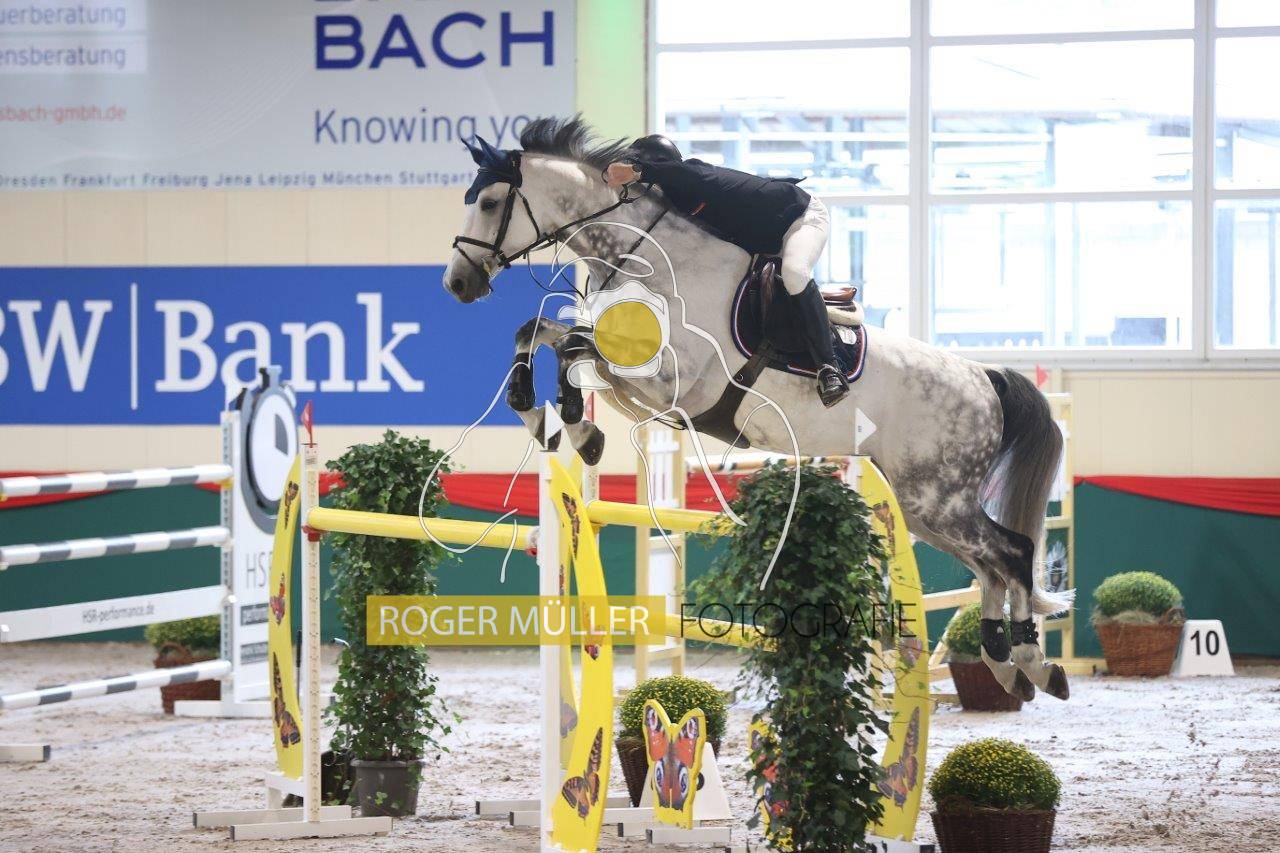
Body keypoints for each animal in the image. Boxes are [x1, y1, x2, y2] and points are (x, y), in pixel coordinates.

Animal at [443, 117, 1072, 702]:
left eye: (492, 203)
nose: (457, 284)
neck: (645, 254)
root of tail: (985, 378)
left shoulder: (673, 378)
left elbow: (575, 345)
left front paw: (578, 428)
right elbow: (539, 331)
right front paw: (550, 419)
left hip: (936, 497)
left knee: (1010, 552)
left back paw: (1034, 663)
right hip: (926, 506)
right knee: (991, 565)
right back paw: (1004, 663)